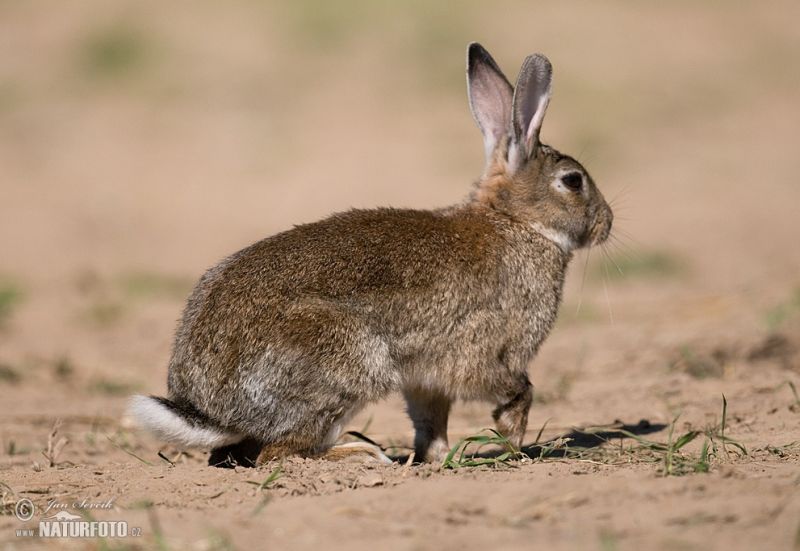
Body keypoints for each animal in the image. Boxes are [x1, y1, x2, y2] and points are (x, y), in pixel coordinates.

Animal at [128, 42, 612, 466]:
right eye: (573, 181)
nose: (606, 223)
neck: (515, 222)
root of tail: (211, 409)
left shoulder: (425, 379)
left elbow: (430, 420)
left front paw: (437, 460)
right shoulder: (485, 354)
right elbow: (518, 389)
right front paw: (512, 444)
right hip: (348, 361)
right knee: (280, 453)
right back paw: (362, 454)